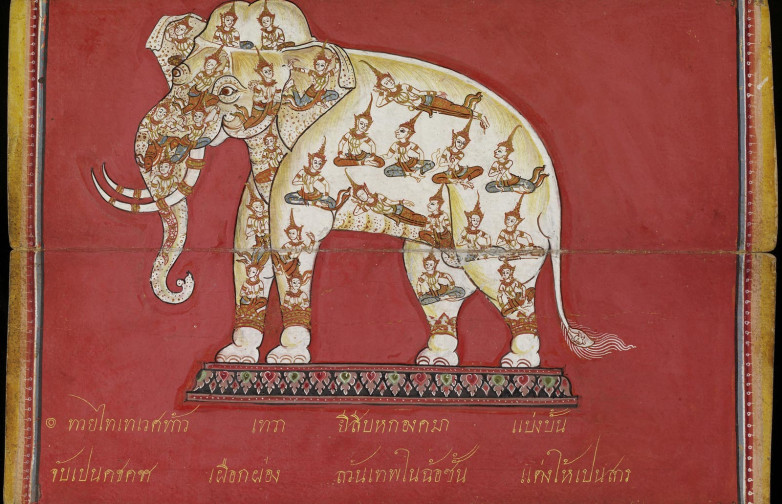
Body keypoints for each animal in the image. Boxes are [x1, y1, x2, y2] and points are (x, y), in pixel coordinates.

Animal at [92, 0, 633, 367]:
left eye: (226, 91)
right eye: (177, 71)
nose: (184, 283)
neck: (308, 52)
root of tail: (554, 194)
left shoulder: (315, 146)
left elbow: (293, 235)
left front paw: (286, 360)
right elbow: (251, 237)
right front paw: (235, 358)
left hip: (498, 212)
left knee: (498, 274)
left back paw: (518, 363)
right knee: (435, 280)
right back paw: (434, 364)